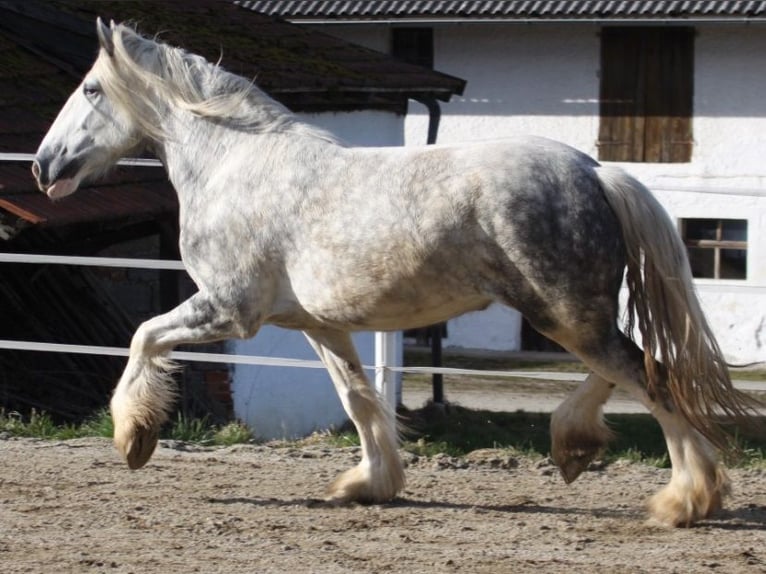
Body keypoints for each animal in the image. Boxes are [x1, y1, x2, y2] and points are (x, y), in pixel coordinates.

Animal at [33, 20, 760, 528]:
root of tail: (596, 169)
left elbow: (142, 337)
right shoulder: (317, 325)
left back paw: (684, 501)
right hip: (573, 316)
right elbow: (358, 398)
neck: (234, 163)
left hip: (565, 314)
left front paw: (134, 437)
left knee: (647, 376)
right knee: (628, 371)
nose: (44, 165)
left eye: (90, 89)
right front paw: (367, 485)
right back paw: (577, 448)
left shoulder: (227, 310)